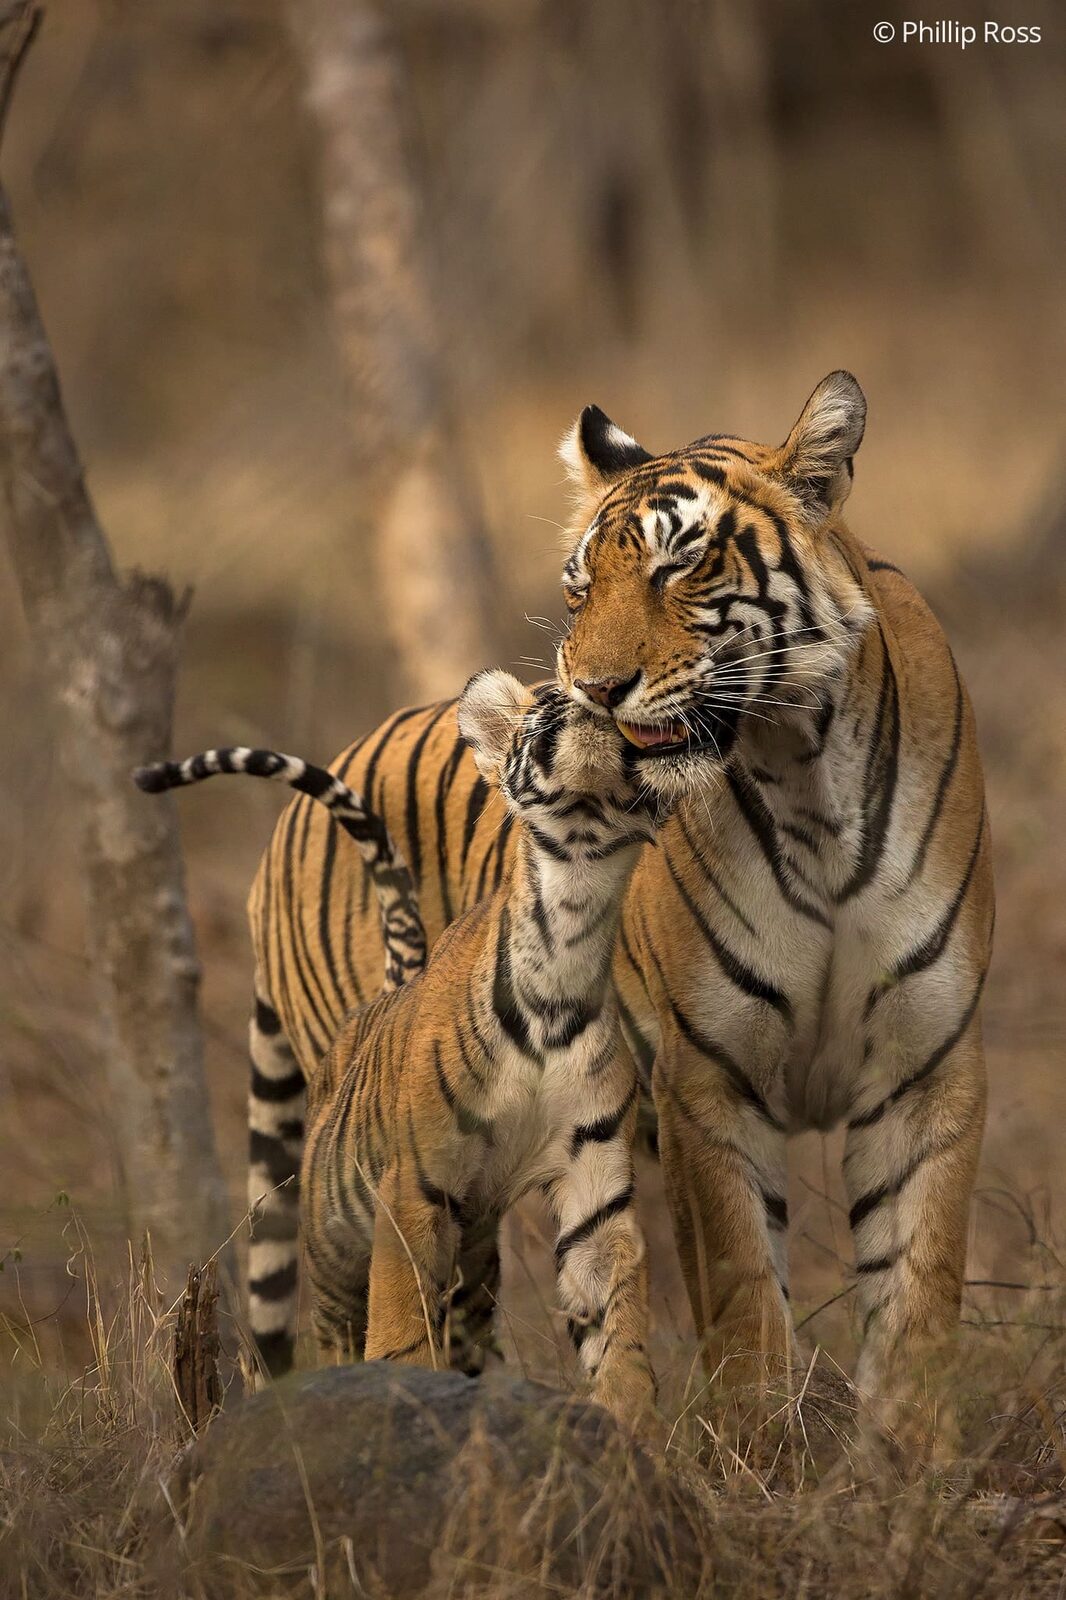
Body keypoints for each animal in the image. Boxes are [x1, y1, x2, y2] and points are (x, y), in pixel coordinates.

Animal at [245, 372, 994, 1450]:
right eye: (578, 588)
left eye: (681, 565)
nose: (593, 690)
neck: (807, 774)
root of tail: (314, 788)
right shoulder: (706, 1079)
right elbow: (742, 1295)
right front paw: (760, 1452)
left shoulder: (926, 1068)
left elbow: (917, 1296)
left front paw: (909, 1471)